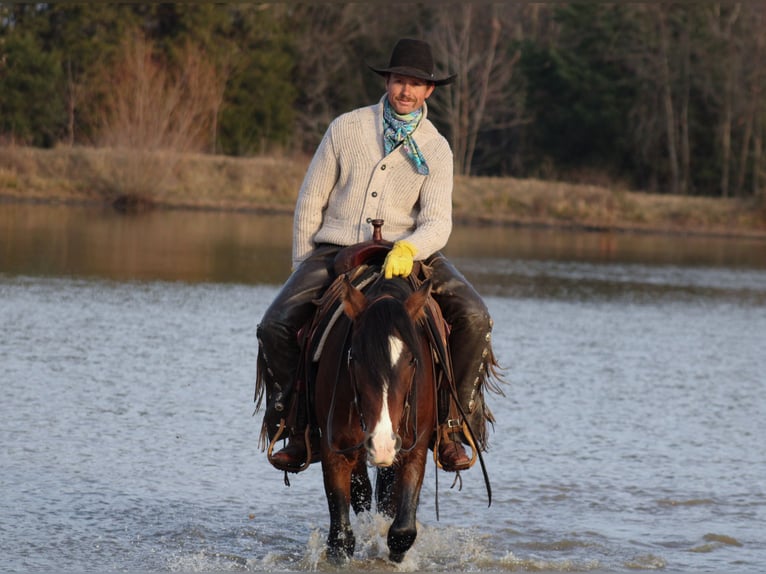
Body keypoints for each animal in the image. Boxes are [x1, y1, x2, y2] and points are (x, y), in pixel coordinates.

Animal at [312, 269, 438, 563]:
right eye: (355, 357)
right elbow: (341, 538)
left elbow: (402, 531)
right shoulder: (334, 449)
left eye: (412, 360)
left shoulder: (415, 449)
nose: (382, 445)